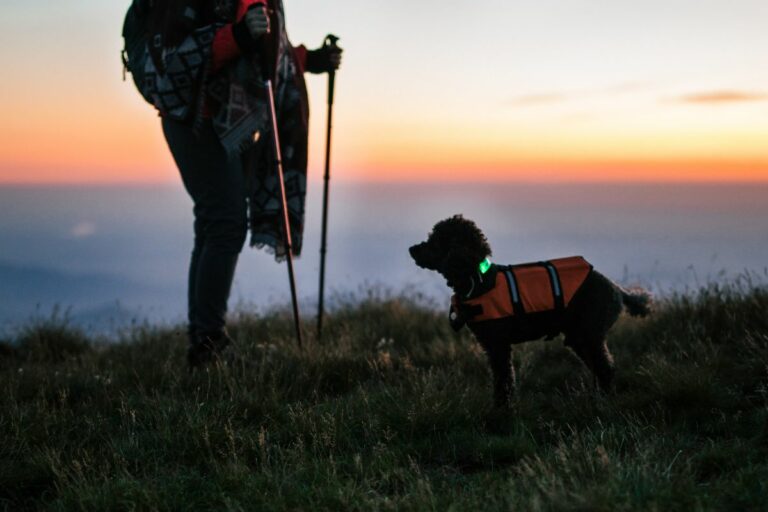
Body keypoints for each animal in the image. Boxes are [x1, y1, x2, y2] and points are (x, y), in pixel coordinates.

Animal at [408, 214, 648, 406]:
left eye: (435, 241)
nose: (412, 249)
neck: (480, 279)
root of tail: (617, 289)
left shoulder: (498, 345)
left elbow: (504, 381)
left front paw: (500, 413)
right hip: (579, 337)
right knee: (599, 368)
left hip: (588, 333)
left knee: (605, 369)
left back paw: (601, 401)